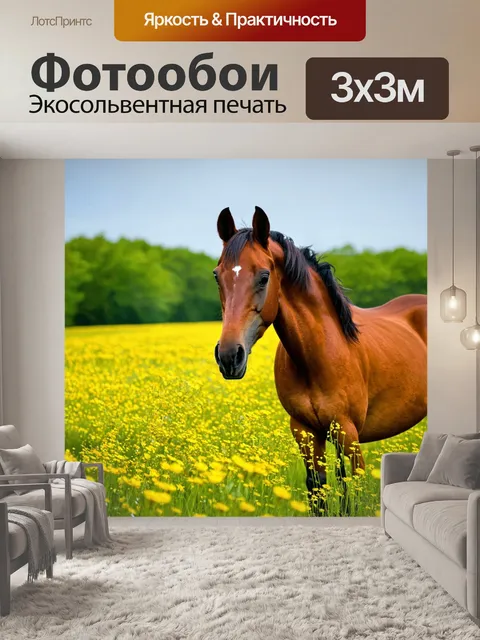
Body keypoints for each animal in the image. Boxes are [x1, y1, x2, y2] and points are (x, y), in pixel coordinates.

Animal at [213, 206, 427, 514]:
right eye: (217, 276)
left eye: (264, 276)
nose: (230, 356)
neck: (317, 355)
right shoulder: (305, 432)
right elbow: (319, 492)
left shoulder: (349, 434)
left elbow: (353, 492)